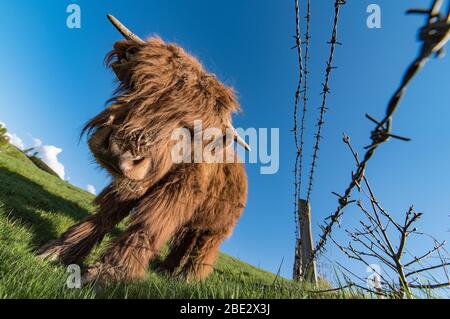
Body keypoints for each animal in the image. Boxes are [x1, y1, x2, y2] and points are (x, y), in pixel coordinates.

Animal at [37, 15, 250, 284]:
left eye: (191, 129)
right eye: (139, 82)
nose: (120, 152)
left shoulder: (176, 193)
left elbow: (147, 227)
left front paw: (105, 275)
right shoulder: (133, 182)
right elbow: (108, 212)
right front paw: (60, 249)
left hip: (217, 228)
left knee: (203, 248)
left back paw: (188, 278)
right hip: (193, 223)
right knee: (184, 242)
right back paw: (166, 270)